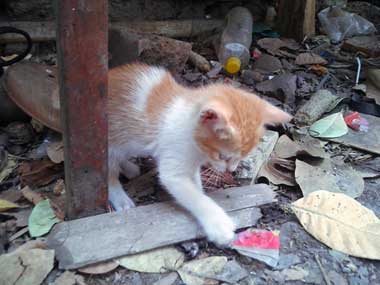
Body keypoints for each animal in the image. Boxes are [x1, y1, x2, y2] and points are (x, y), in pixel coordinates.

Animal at [107, 62, 290, 244]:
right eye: (223, 156)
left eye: (241, 158)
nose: (231, 170)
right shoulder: (174, 166)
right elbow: (194, 196)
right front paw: (218, 223)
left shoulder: (192, 164)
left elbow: (196, 186)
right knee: (109, 171)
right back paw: (120, 197)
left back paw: (129, 168)